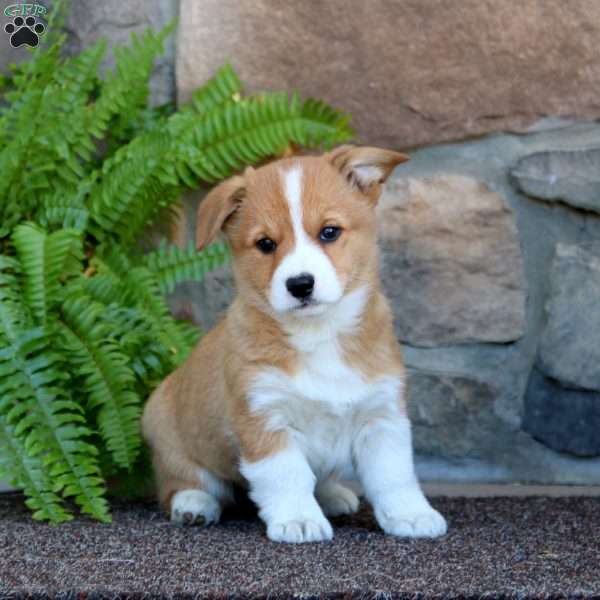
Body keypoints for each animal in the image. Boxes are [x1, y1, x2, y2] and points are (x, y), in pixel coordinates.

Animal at [143, 145, 448, 544]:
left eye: (329, 232)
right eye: (265, 244)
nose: (300, 284)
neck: (319, 334)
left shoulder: (382, 416)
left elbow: (394, 476)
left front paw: (411, 515)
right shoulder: (265, 419)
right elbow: (288, 476)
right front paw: (298, 520)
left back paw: (333, 496)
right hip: (172, 438)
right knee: (183, 482)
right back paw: (193, 503)